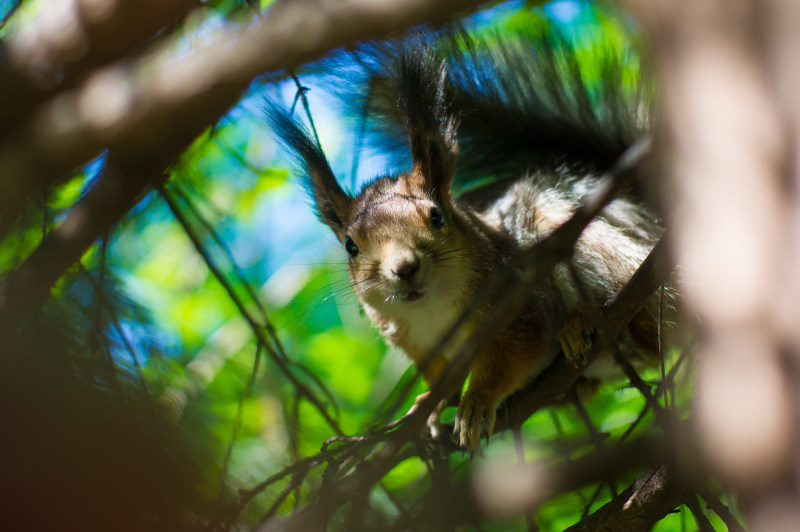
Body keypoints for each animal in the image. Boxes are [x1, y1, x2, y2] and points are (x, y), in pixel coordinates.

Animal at [266, 21, 672, 454]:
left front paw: (476, 402)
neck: (433, 310)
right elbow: (441, 381)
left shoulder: (516, 304)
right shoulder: (423, 348)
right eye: (350, 245)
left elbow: (510, 354)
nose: (404, 268)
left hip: (583, 244)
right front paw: (427, 405)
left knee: (649, 334)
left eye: (436, 216)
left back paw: (584, 325)